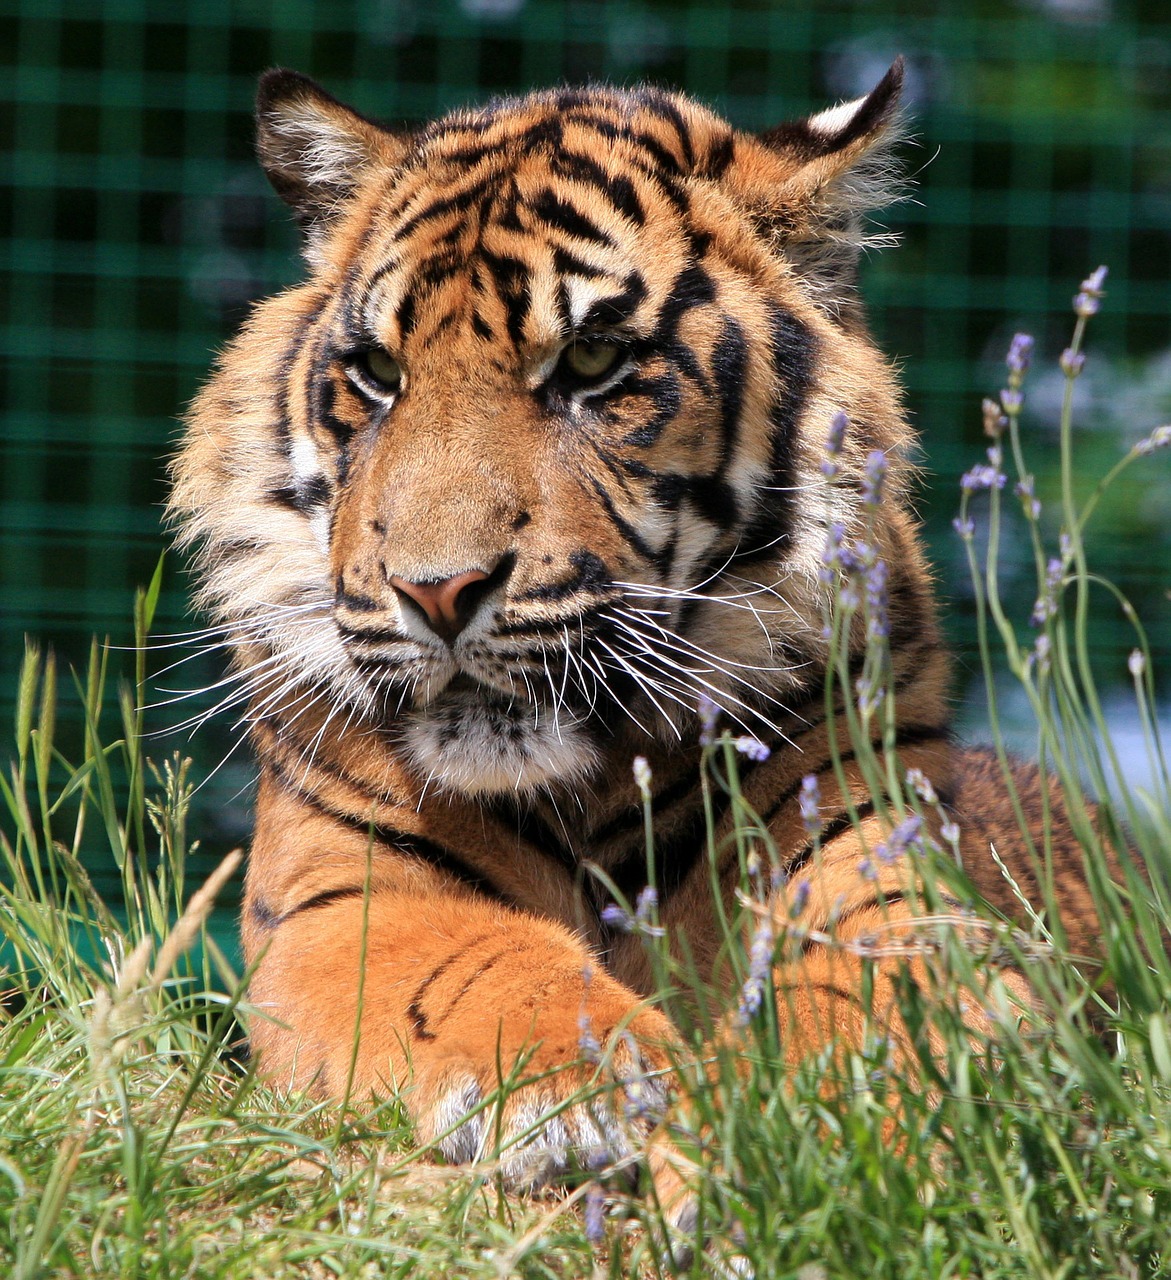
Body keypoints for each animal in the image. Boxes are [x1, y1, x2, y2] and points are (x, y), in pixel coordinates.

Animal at [169, 59, 1110, 1199]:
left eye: (591, 361)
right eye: (379, 375)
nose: (436, 591)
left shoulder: (866, 854)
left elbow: (892, 986)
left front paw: (866, 1124)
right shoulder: (346, 892)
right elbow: (478, 963)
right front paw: (608, 1079)